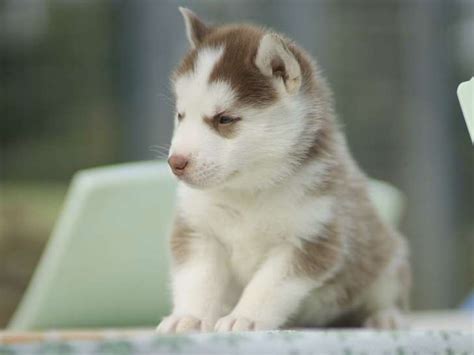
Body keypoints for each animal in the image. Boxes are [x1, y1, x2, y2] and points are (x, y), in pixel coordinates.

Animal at [157, 6, 410, 334]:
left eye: (224, 119)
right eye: (180, 115)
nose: (176, 162)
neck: (250, 191)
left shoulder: (312, 237)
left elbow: (268, 285)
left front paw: (245, 316)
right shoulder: (198, 230)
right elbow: (198, 279)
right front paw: (189, 316)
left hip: (387, 257)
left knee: (385, 292)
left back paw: (386, 316)